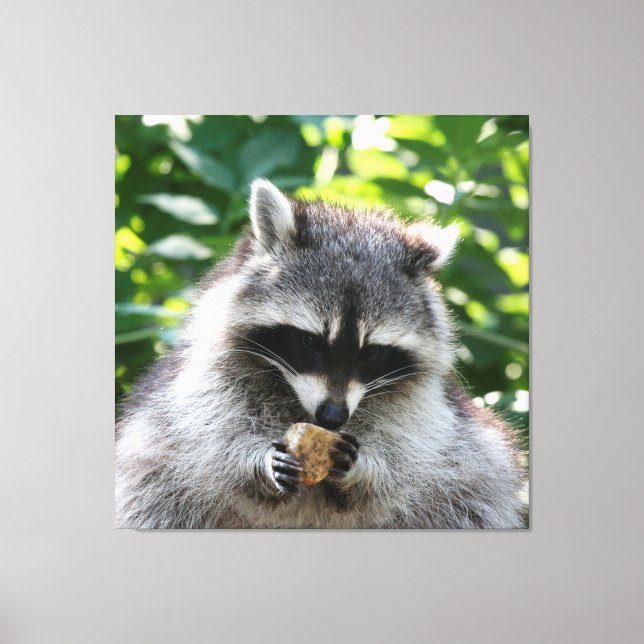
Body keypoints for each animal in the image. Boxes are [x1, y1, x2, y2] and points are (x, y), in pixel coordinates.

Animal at [115, 179, 527, 529]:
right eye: (311, 342)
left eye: (371, 352)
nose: (332, 417)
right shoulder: (207, 380)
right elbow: (210, 437)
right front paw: (255, 463)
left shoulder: (422, 406)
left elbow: (408, 453)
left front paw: (364, 470)